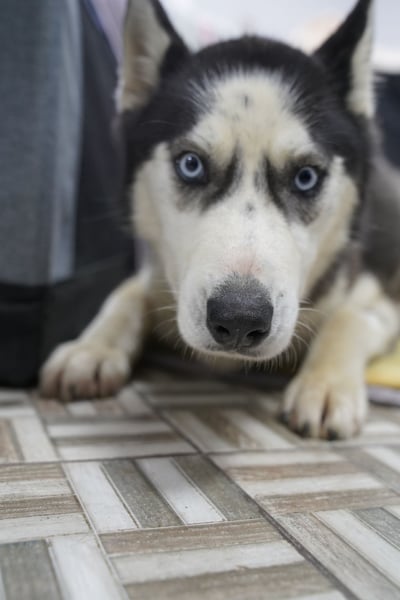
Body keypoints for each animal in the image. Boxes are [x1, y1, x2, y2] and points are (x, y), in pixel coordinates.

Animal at [41, 0, 400, 439]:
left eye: (306, 177)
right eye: (191, 165)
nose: (240, 318)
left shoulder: (371, 290)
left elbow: (350, 317)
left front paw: (326, 384)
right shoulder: (164, 279)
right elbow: (126, 292)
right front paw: (90, 348)